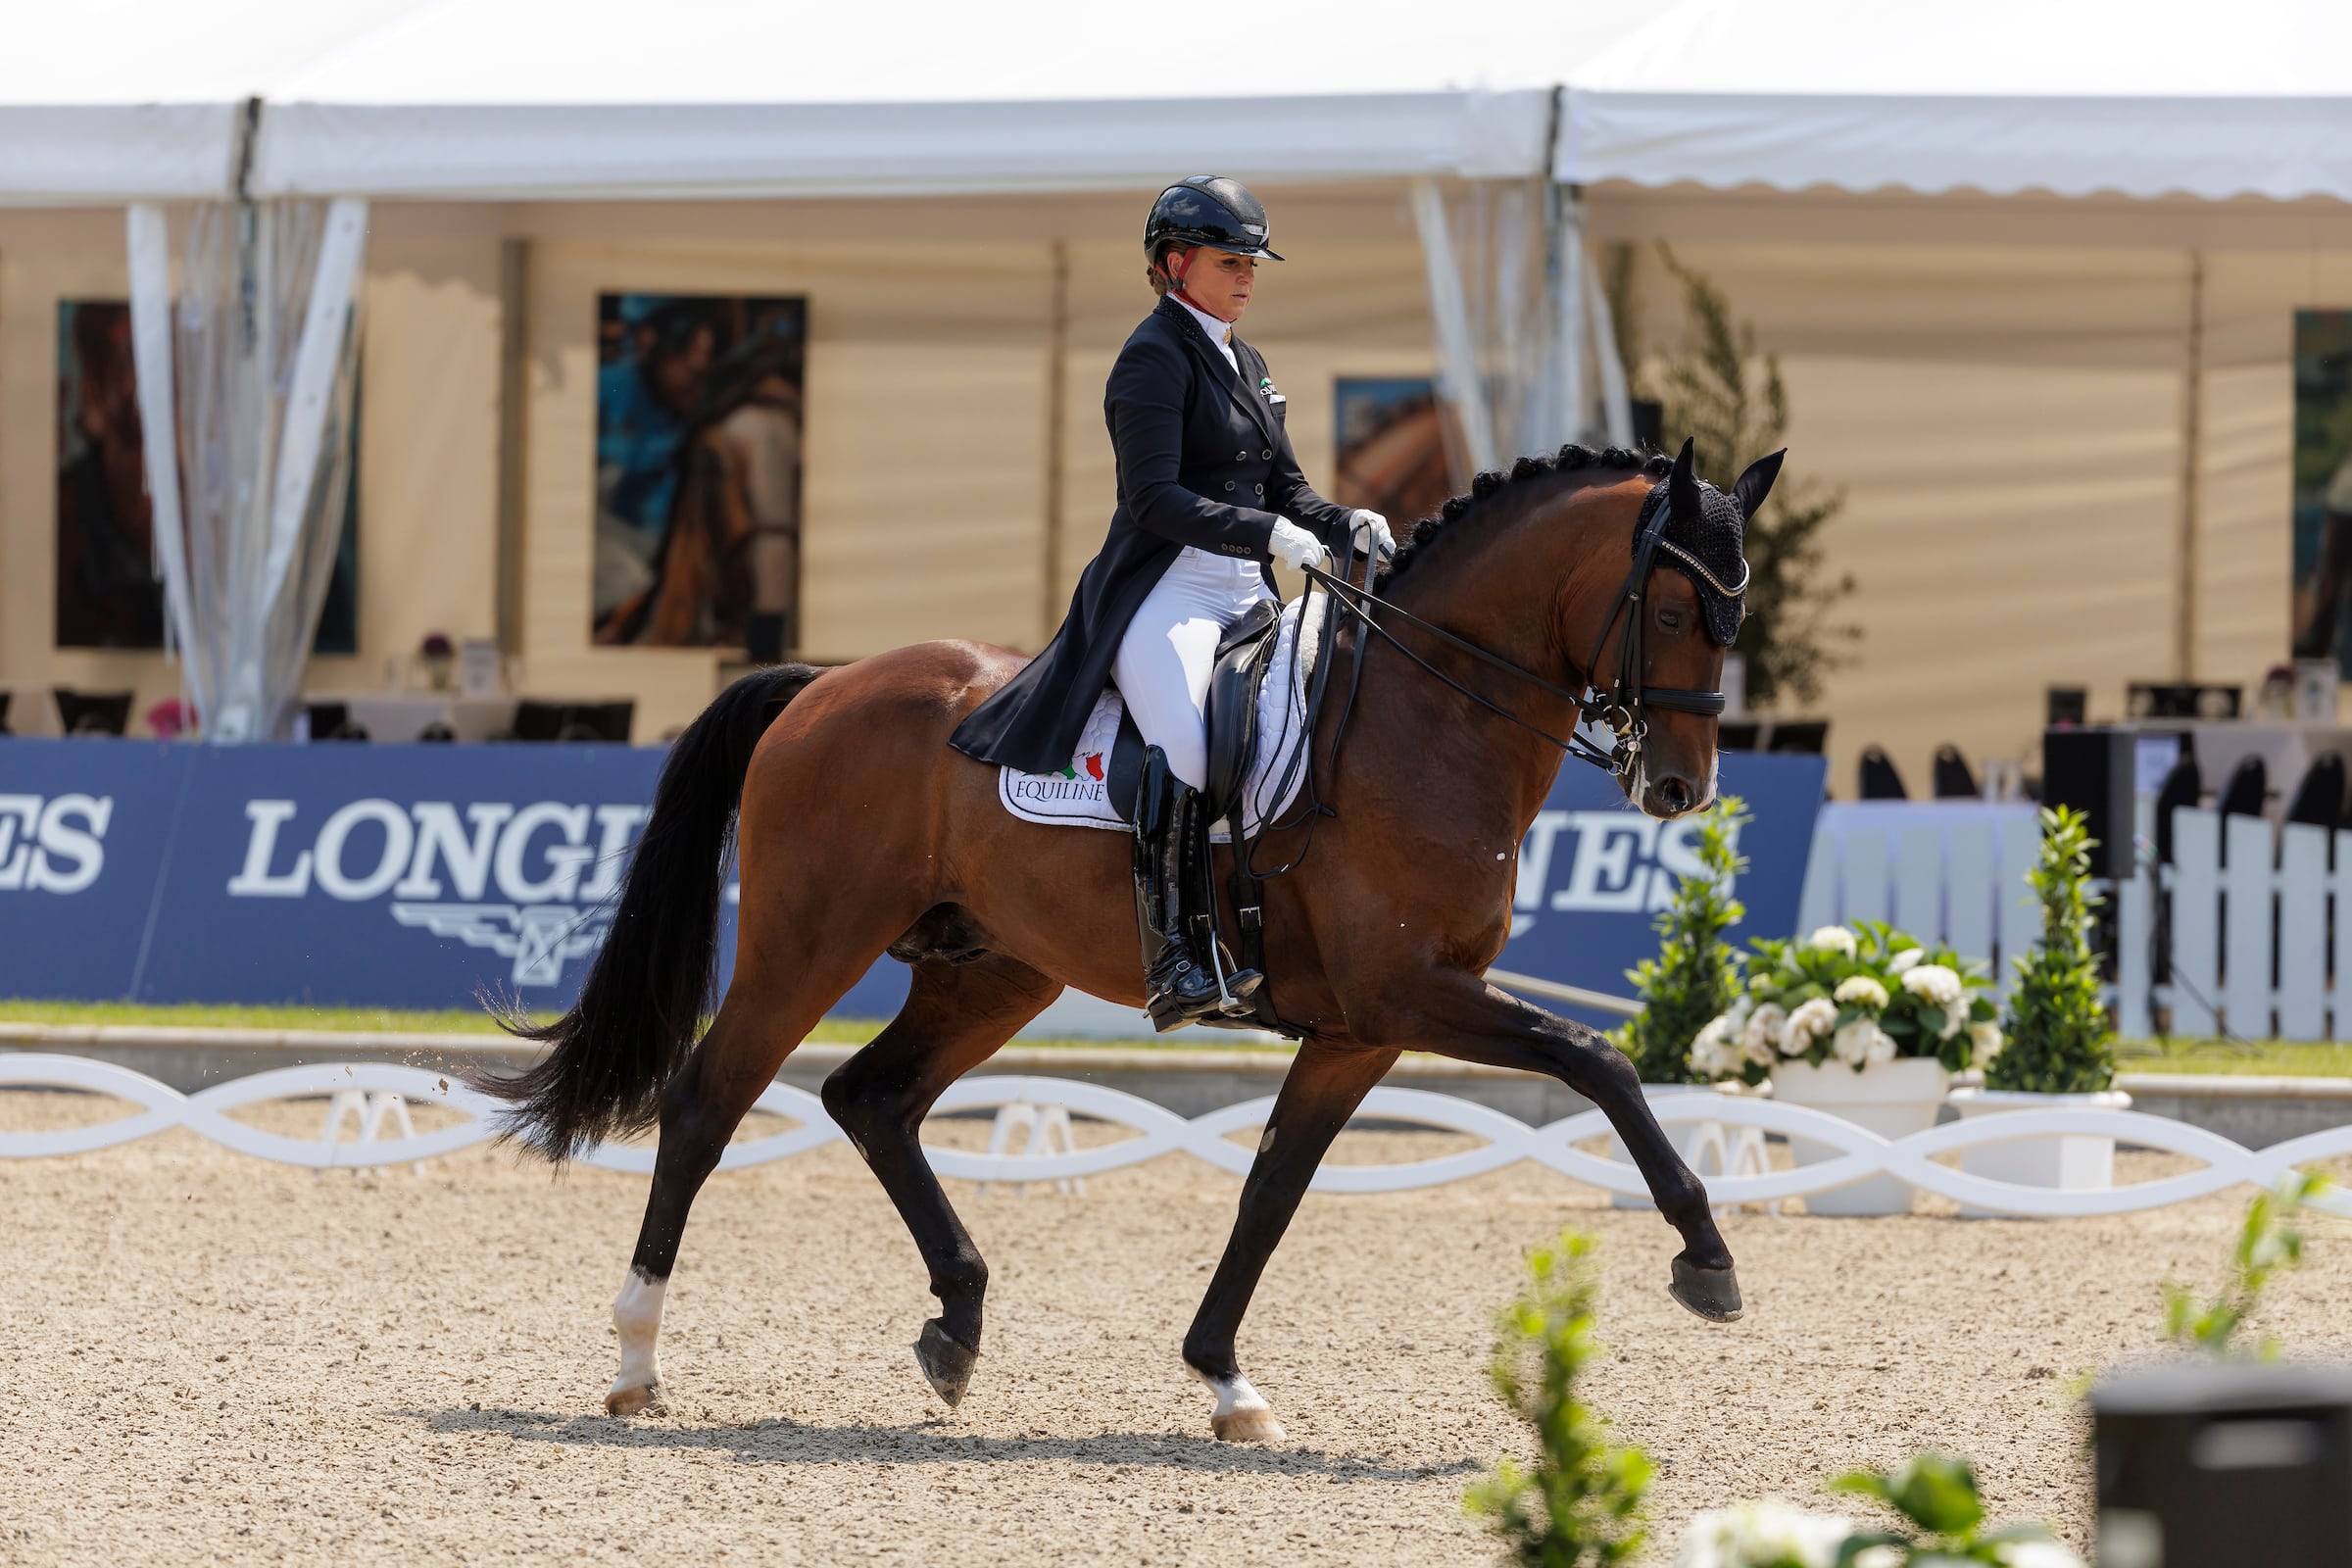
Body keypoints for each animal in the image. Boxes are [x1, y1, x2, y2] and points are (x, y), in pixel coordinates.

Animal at [486, 439, 1749, 1439]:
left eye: (1736, 619)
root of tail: (823, 685)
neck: (1425, 715)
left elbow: (1272, 1188)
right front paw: (1706, 1256)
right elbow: (1601, 1059)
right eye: (1672, 611)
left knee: (871, 1098)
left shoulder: (1361, 1030)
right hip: (811, 943)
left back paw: (956, 1322)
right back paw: (638, 1359)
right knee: (708, 1101)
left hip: (996, 970)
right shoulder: (1410, 993)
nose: (1680, 788)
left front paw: (1226, 1379)